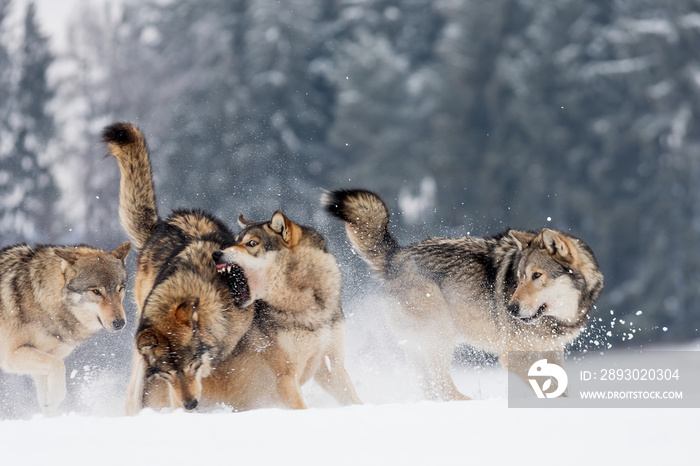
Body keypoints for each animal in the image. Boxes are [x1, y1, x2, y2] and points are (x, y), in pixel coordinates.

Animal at [0, 240, 131, 416]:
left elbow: (45, 399)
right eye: (96, 291)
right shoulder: (13, 355)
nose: (119, 323)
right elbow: (59, 368)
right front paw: (54, 401)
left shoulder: (43, 362)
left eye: (120, 289)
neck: (39, 299)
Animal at [209, 213, 364, 410]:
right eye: (235, 242)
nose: (216, 254)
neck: (307, 305)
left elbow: (355, 401)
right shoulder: (285, 378)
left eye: (251, 243)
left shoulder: (332, 367)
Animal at [322, 189, 600, 400]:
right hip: (440, 332)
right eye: (520, 277)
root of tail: (396, 256)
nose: (510, 308)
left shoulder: (553, 350)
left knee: (431, 388)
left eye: (536, 275)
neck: (560, 319)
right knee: (443, 386)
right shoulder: (512, 356)